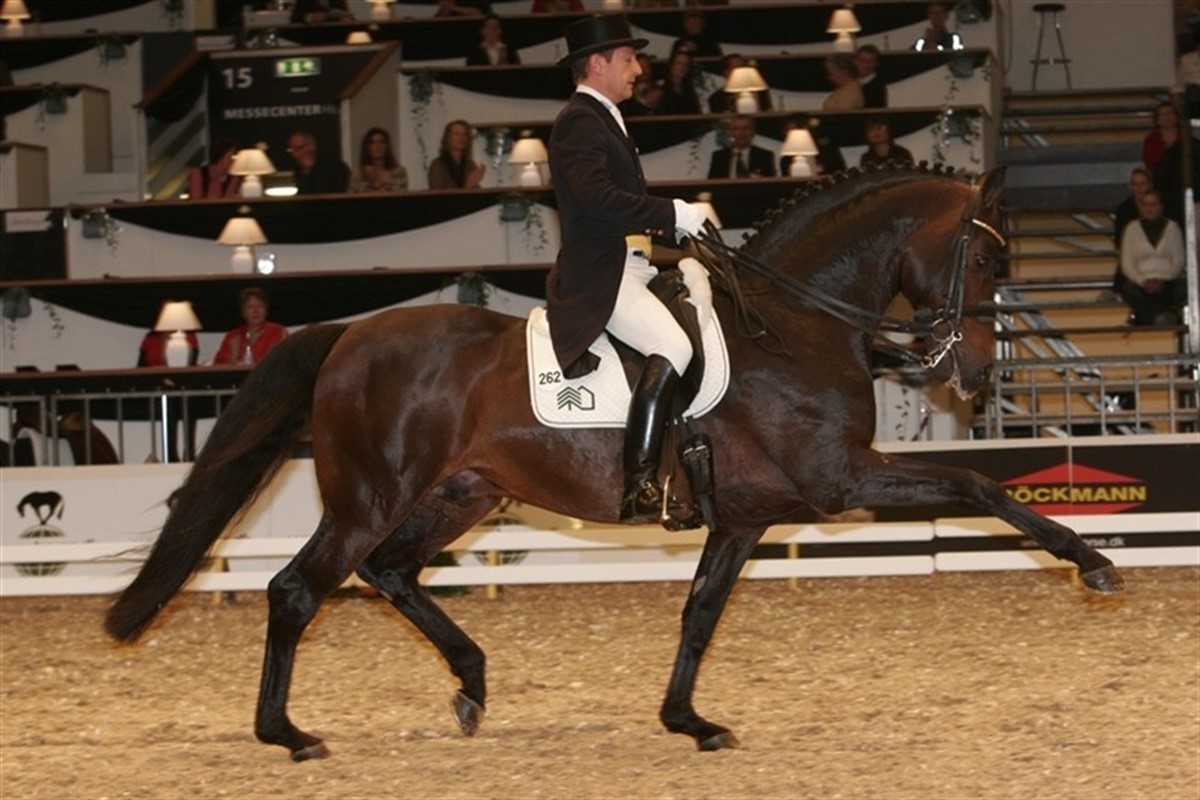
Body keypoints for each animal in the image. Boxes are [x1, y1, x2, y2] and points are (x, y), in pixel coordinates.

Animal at [105, 163, 1123, 761]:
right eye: (984, 264)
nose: (974, 375)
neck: (796, 324)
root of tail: (348, 333)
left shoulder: (745, 516)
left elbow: (700, 615)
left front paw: (690, 722)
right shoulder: (839, 482)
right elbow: (976, 482)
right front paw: (1093, 563)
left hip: (461, 492)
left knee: (389, 572)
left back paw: (471, 683)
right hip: (369, 494)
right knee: (300, 589)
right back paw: (287, 733)